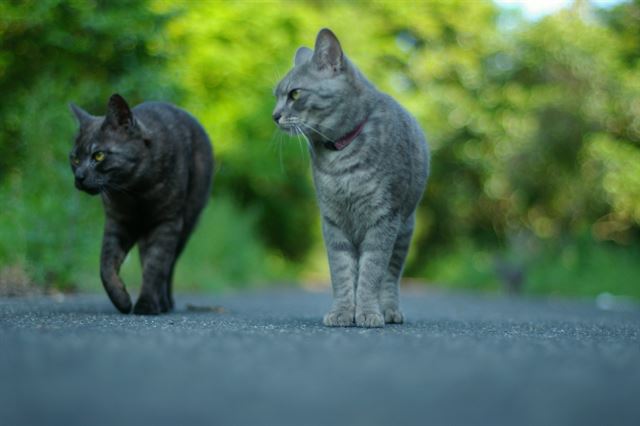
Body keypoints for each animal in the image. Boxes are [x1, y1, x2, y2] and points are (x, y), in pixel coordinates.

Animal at [69, 94, 215, 312]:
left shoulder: (167, 223)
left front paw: (146, 304)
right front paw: (122, 300)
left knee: (169, 266)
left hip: (186, 223)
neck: (136, 194)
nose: (79, 177)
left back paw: (165, 302)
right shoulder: (118, 222)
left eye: (98, 155)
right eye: (75, 159)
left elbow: (155, 266)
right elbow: (106, 264)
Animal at [272, 28, 430, 328]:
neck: (340, 160)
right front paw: (344, 312)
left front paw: (368, 312)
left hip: (405, 229)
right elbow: (343, 273)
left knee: (390, 276)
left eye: (295, 93)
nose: (274, 115)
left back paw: (389, 310)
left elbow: (372, 273)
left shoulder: (383, 219)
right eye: (276, 95)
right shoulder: (333, 222)